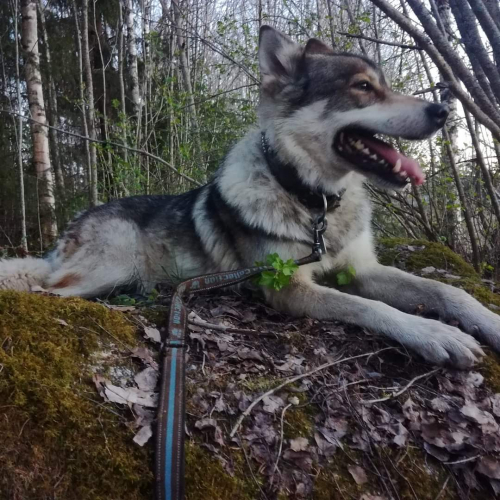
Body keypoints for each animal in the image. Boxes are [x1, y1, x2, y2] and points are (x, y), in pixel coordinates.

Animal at [1, 26, 498, 368]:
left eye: (385, 84)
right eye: (362, 87)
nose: (444, 110)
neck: (313, 202)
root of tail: (68, 231)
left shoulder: (360, 268)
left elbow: (445, 289)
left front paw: (487, 322)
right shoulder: (289, 289)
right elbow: (371, 307)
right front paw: (434, 334)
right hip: (113, 264)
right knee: (47, 291)